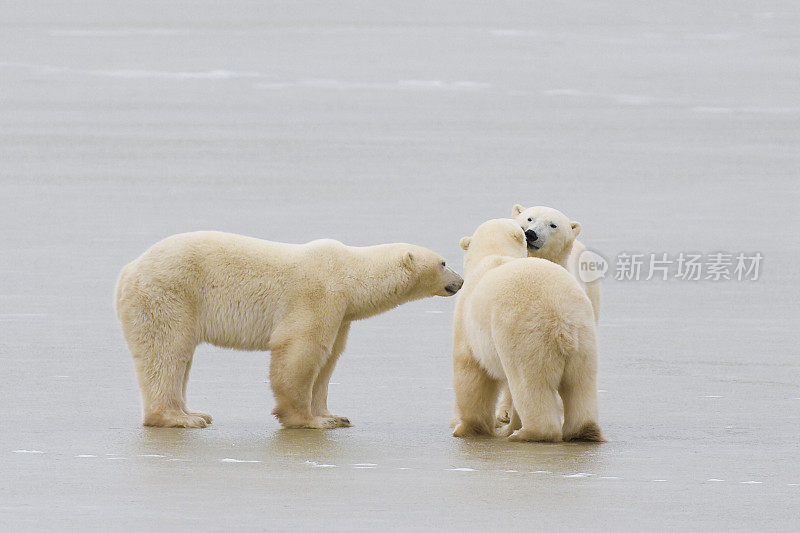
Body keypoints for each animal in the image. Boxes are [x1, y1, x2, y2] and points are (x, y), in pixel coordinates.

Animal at [114, 232, 462, 428]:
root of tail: (127, 271)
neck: (348, 273)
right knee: (167, 353)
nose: (459, 282)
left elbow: (328, 360)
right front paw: (306, 420)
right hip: (169, 296)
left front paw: (334, 415)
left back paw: (195, 411)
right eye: (444, 262)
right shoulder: (318, 294)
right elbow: (301, 350)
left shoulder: (342, 314)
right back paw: (181, 418)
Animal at [450, 218, 600, 442]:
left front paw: (466, 428)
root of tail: (562, 319)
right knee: (581, 385)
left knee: (529, 384)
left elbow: (470, 372)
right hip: (584, 336)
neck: (495, 254)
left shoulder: (468, 322)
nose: (530, 233)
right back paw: (583, 431)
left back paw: (525, 433)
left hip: (526, 337)